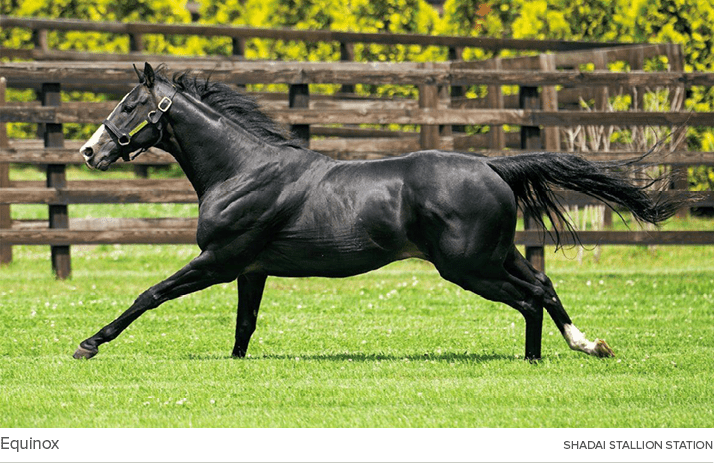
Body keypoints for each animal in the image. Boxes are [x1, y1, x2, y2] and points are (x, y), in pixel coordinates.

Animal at [74, 62, 684, 361]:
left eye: (129, 106)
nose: (89, 151)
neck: (242, 170)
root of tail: (493, 166)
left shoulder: (219, 260)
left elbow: (150, 294)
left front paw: (89, 344)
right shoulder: (251, 269)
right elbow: (244, 325)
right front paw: (236, 365)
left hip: (469, 267)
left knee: (531, 296)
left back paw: (537, 360)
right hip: (495, 255)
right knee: (545, 285)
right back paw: (588, 345)